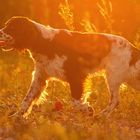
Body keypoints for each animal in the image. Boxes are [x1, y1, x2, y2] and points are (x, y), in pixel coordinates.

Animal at [0, 16, 140, 117]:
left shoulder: (76, 77)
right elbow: (27, 99)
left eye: (11, 27)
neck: (45, 42)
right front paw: (16, 116)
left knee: (115, 100)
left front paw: (88, 110)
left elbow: (75, 100)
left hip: (113, 77)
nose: (0, 32)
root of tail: (133, 50)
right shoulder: (40, 77)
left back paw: (101, 115)